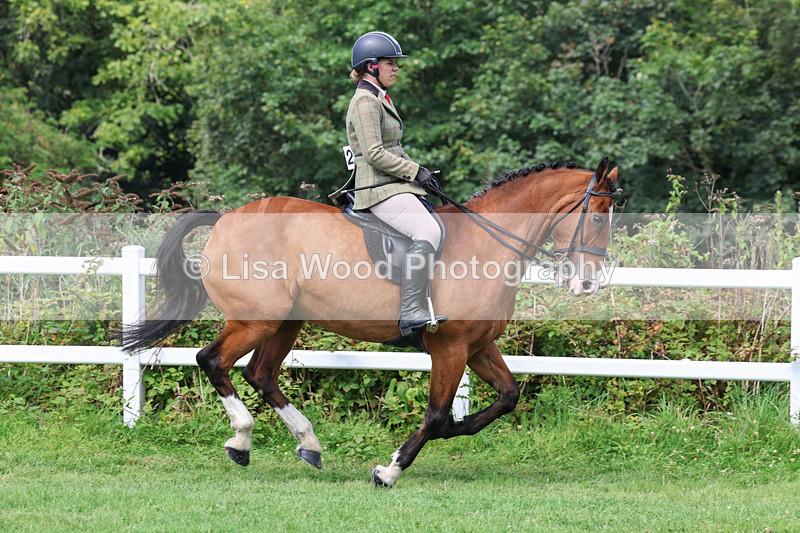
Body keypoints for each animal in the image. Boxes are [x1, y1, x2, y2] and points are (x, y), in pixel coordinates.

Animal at [122, 158, 619, 487]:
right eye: (597, 218)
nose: (589, 284)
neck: (488, 243)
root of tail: (226, 219)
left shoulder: (477, 346)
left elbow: (506, 398)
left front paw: (444, 436)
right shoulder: (450, 347)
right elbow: (436, 414)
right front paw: (390, 468)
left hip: (285, 324)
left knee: (260, 374)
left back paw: (308, 444)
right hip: (255, 320)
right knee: (213, 361)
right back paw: (241, 441)